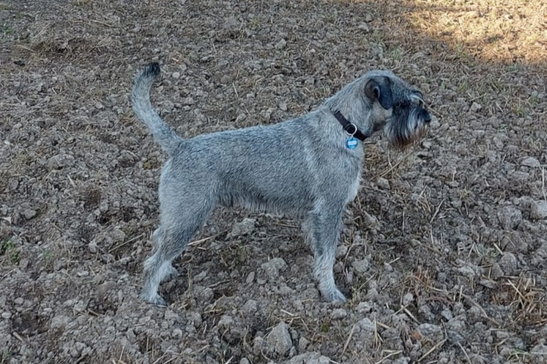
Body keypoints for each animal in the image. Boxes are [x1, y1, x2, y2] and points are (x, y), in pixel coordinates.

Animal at [131, 61, 430, 306]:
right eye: (403, 104)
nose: (427, 118)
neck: (345, 127)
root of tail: (180, 146)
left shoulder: (316, 213)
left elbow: (319, 247)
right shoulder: (330, 209)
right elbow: (328, 256)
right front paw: (331, 292)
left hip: (178, 215)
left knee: (159, 239)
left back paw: (167, 270)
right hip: (189, 216)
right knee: (155, 258)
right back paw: (151, 296)